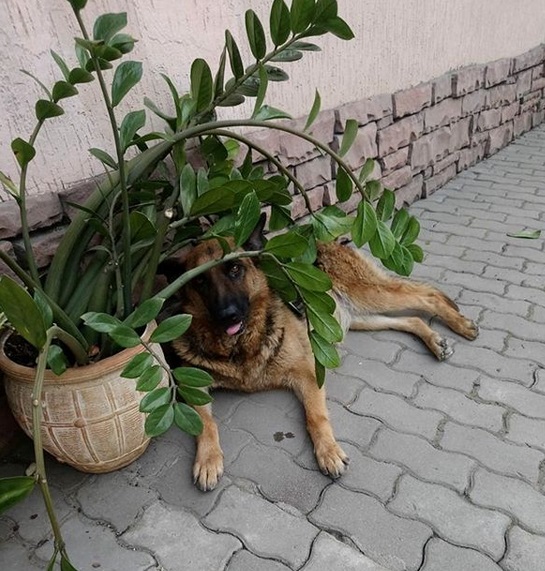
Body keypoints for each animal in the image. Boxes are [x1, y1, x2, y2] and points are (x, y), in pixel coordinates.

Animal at [160, 219, 476, 492]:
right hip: (356, 318)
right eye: (200, 282)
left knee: (427, 297)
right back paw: (435, 340)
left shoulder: (307, 371)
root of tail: (327, 238)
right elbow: (206, 423)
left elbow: (315, 416)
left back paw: (460, 323)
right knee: (411, 319)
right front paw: (208, 461)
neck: (240, 347)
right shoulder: (193, 386)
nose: (228, 316)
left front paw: (329, 452)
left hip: (369, 296)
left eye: (235, 269)